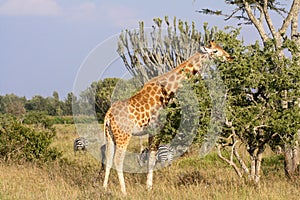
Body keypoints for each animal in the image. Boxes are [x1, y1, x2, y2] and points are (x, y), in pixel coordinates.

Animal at [102, 41, 231, 195]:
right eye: (215, 51)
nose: (229, 57)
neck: (167, 91)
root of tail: (108, 116)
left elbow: (150, 158)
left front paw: (148, 186)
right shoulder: (157, 128)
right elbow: (152, 158)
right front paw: (149, 188)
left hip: (110, 135)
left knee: (108, 159)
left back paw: (104, 188)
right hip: (123, 135)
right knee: (118, 160)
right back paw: (124, 191)